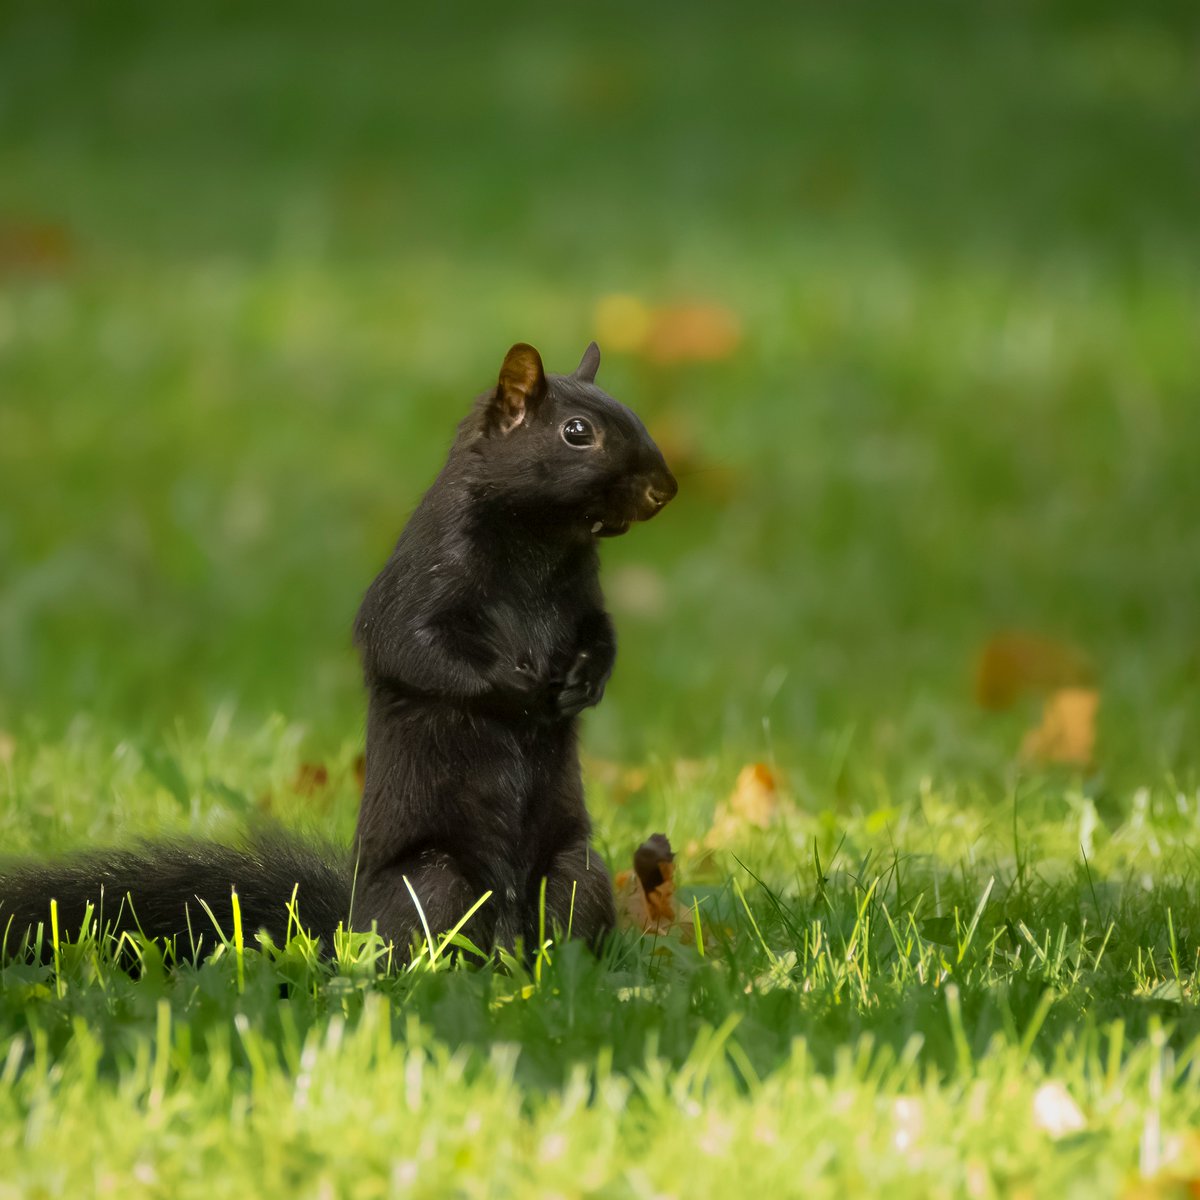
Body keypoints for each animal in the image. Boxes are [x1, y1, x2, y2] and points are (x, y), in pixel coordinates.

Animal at [0, 342, 677, 962]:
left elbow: (601, 636)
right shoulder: (420, 583)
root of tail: (349, 926)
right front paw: (518, 686)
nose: (664, 490)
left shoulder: (585, 596)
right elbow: (418, 651)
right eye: (577, 433)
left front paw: (586, 681)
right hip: (433, 882)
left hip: (572, 875)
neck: (541, 545)